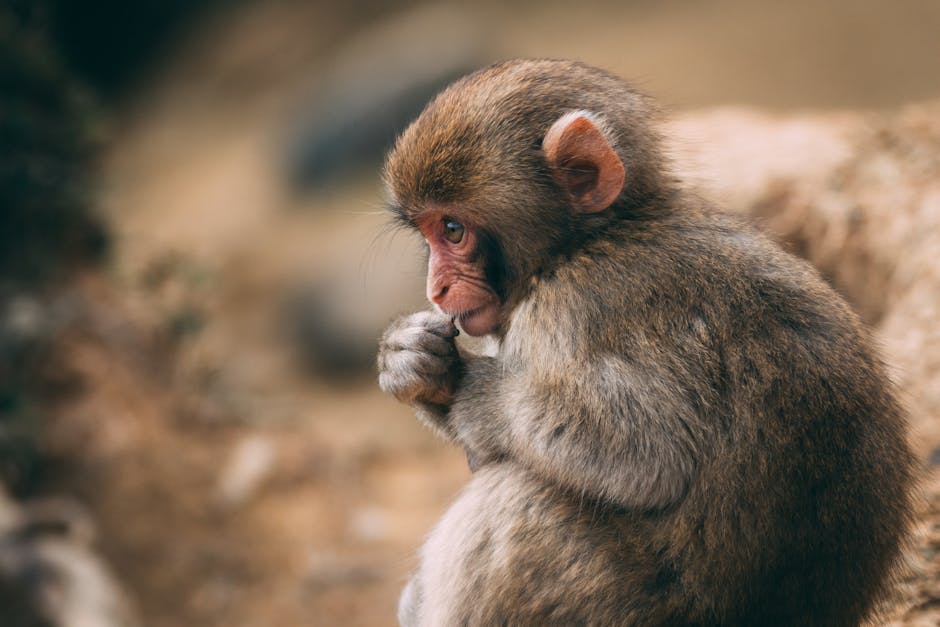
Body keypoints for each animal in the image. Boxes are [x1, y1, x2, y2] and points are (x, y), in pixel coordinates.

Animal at [376, 60, 916, 627]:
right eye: (428, 234)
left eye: (453, 229)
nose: (436, 288)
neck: (587, 241)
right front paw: (412, 362)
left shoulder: (578, 306)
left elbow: (649, 452)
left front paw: (472, 391)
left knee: (515, 502)